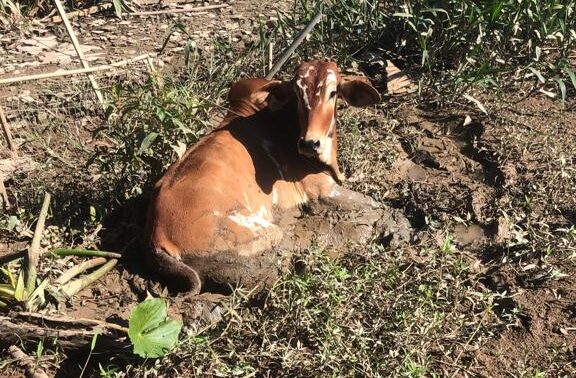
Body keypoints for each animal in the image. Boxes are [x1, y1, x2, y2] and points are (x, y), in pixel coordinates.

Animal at [146, 60, 382, 294]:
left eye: (333, 93)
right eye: (297, 94)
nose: (309, 143)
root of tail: (157, 239)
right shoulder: (323, 190)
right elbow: (375, 206)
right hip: (264, 233)